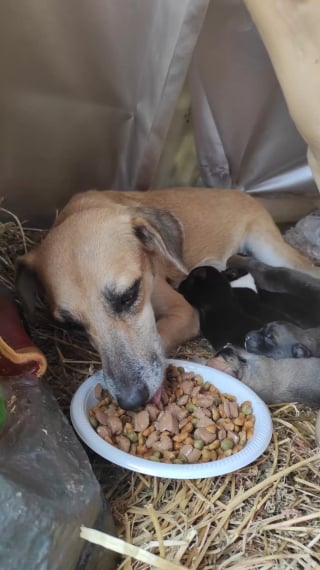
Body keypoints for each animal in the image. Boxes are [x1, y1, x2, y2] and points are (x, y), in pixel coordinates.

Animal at [15, 187, 320, 408]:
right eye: (73, 326)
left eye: (128, 296)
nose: (131, 401)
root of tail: (241, 192)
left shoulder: (182, 311)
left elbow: (160, 338)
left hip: (272, 249)